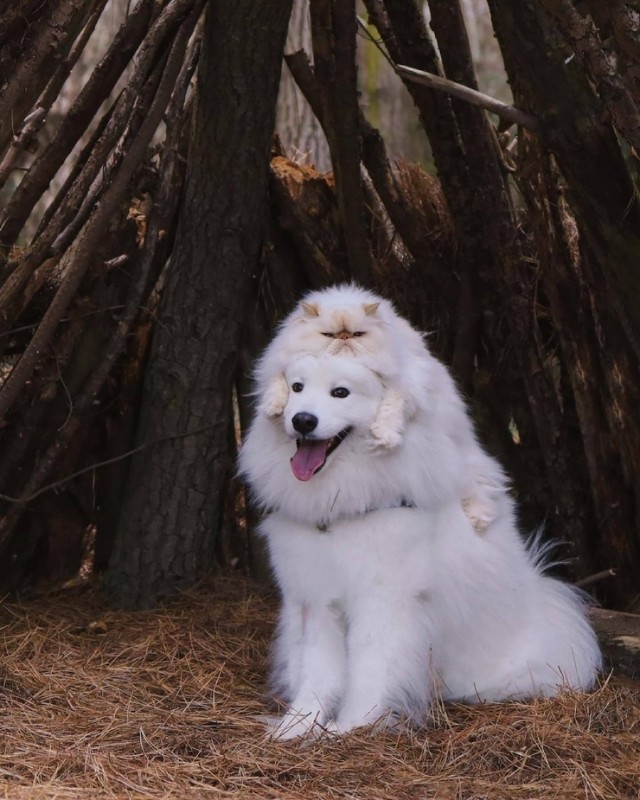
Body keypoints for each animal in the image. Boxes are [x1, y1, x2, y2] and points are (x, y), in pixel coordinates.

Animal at [239, 354, 600, 740]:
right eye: (297, 388)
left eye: (340, 392)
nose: (303, 420)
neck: (343, 509)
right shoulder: (318, 601)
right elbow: (317, 670)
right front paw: (296, 726)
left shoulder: (382, 603)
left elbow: (370, 668)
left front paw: (352, 726)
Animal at [255, 284, 504, 536]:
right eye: (328, 335)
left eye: (358, 334)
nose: (344, 339)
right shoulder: (278, 366)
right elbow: (276, 382)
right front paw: (273, 405)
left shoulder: (404, 384)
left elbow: (392, 407)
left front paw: (384, 437)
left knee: (479, 487)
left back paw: (479, 518)